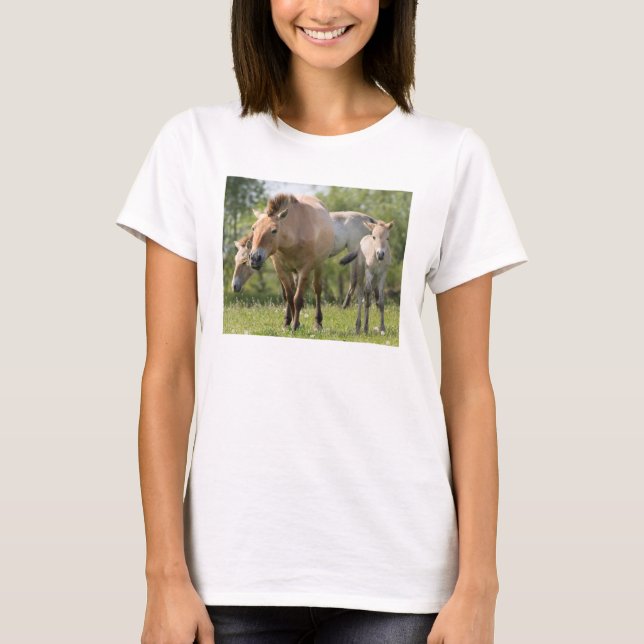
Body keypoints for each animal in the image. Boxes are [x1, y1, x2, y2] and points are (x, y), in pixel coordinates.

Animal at [248, 192, 335, 331]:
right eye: (253, 228)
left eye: (274, 230)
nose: (255, 258)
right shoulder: (281, 270)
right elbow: (289, 297)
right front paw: (294, 322)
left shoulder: (305, 269)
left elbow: (297, 299)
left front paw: (295, 325)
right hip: (292, 271)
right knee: (292, 291)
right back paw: (288, 321)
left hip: (319, 266)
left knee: (317, 289)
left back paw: (318, 323)